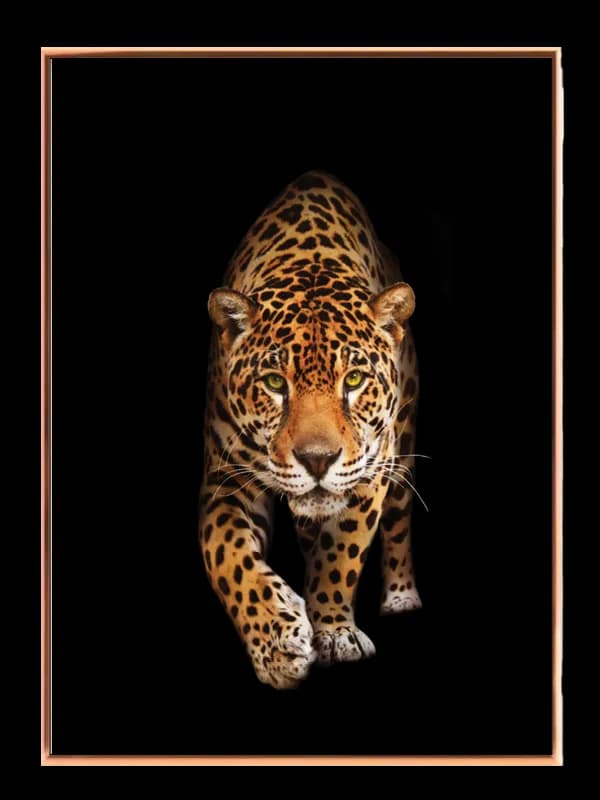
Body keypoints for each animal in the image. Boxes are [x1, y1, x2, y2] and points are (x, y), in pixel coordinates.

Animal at [198, 170, 422, 689]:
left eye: (354, 380)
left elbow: (341, 553)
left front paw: (334, 632)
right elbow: (226, 554)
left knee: (399, 521)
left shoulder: (371, 470)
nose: (317, 460)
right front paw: (277, 644)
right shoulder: (226, 478)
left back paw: (402, 596)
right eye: (275, 383)